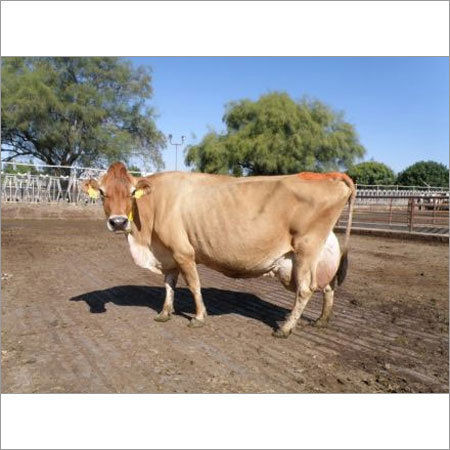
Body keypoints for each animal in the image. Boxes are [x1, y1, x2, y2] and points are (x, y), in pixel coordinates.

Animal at [81, 163, 356, 340]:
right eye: (102, 193)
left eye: (131, 192)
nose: (118, 222)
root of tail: (328, 176)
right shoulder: (167, 255)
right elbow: (169, 285)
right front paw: (164, 313)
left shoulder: (183, 252)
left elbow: (194, 285)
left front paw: (199, 317)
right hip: (317, 252)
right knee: (328, 285)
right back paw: (322, 320)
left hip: (306, 249)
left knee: (306, 289)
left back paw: (285, 328)